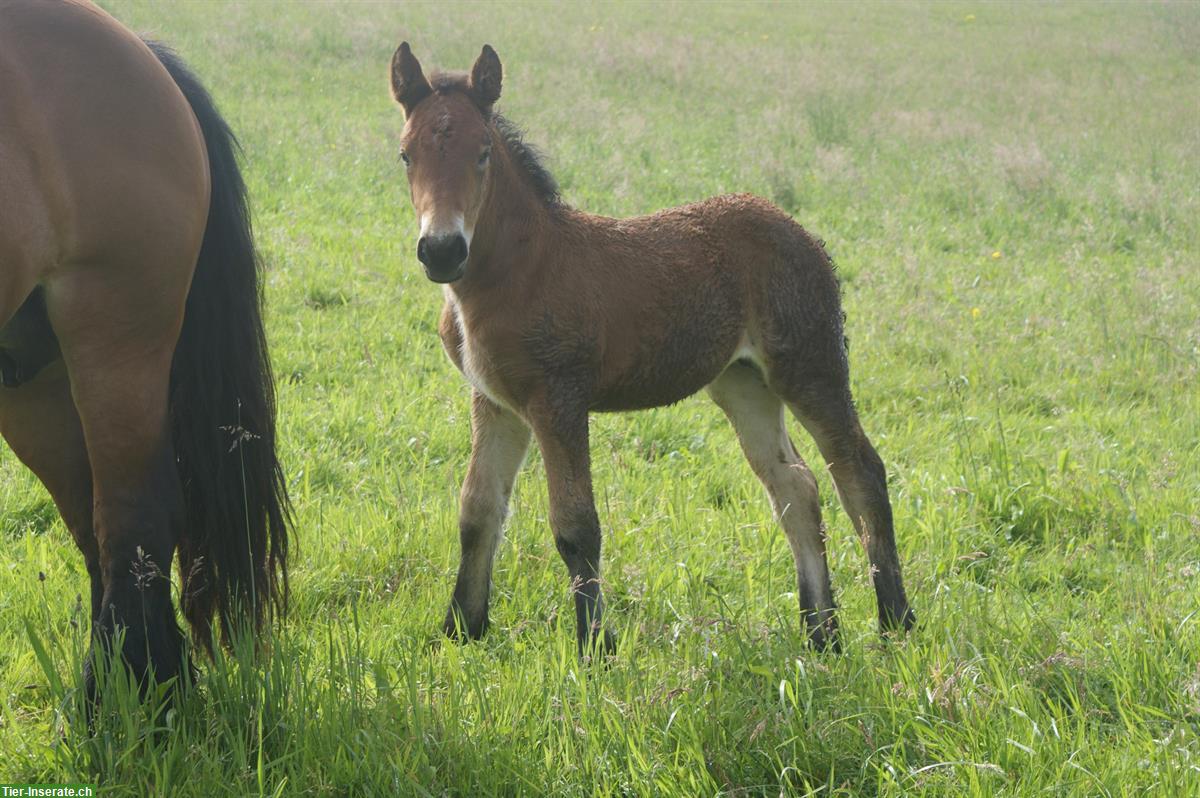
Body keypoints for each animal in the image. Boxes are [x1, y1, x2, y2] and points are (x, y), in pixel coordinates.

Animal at [0, 0, 288, 691]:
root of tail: (140, 49)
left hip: (115, 336)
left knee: (135, 516)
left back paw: (137, 692)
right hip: (31, 377)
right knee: (98, 525)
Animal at [388, 42, 912, 652]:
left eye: (483, 153)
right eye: (405, 154)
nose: (442, 250)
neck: (521, 268)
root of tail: (801, 231)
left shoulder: (558, 397)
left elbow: (576, 526)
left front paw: (595, 647)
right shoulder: (495, 401)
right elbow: (477, 509)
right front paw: (461, 630)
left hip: (810, 365)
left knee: (859, 472)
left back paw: (895, 621)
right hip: (743, 383)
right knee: (795, 485)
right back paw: (821, 632)